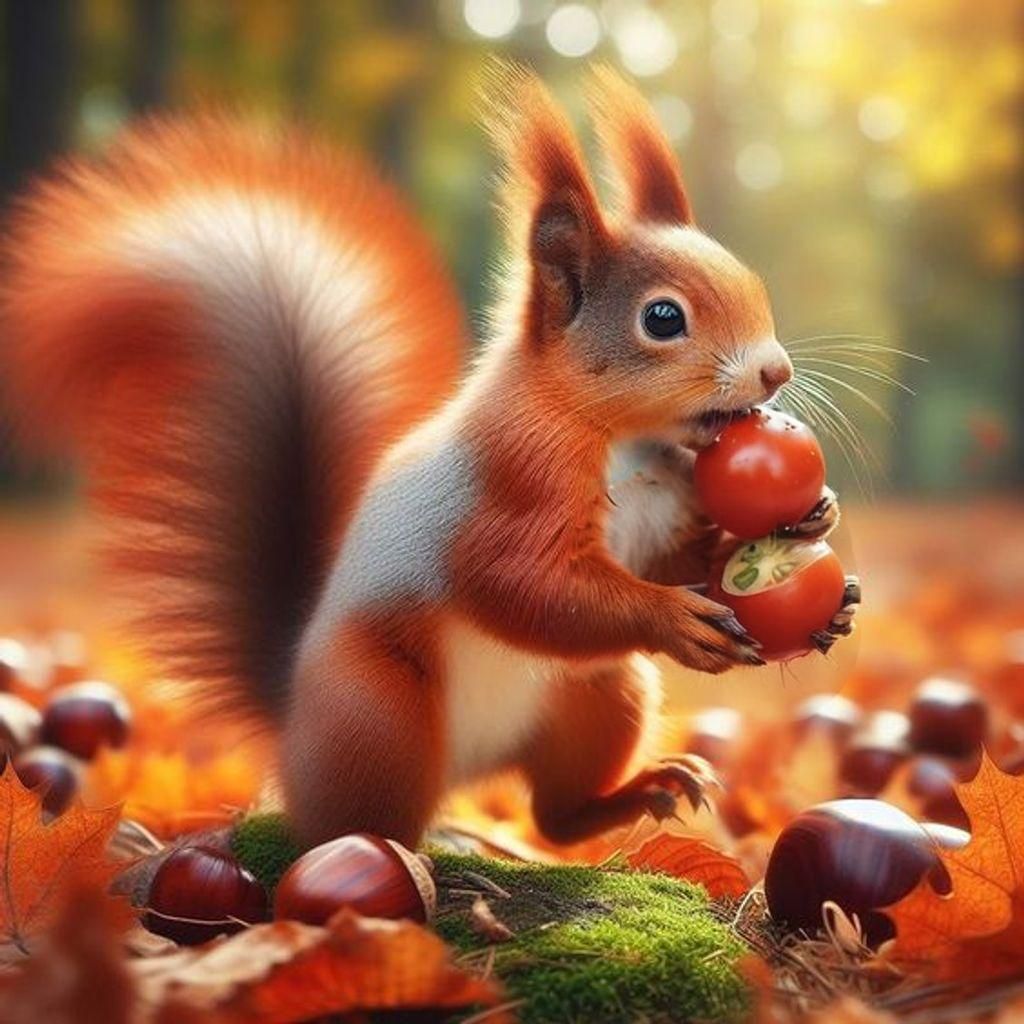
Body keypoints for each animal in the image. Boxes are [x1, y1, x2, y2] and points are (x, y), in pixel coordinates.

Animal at [1, 66, 858, 849]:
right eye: (663, 318)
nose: (775, 372)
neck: (623, 440)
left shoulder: (665, 505)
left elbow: (673, 559)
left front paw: (813, 537)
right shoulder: (512, 483)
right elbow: (519, 586)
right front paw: (674, 618)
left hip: (600, 691)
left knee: (553, 816)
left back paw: (635, 792)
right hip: (378, 715)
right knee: (354, 823)